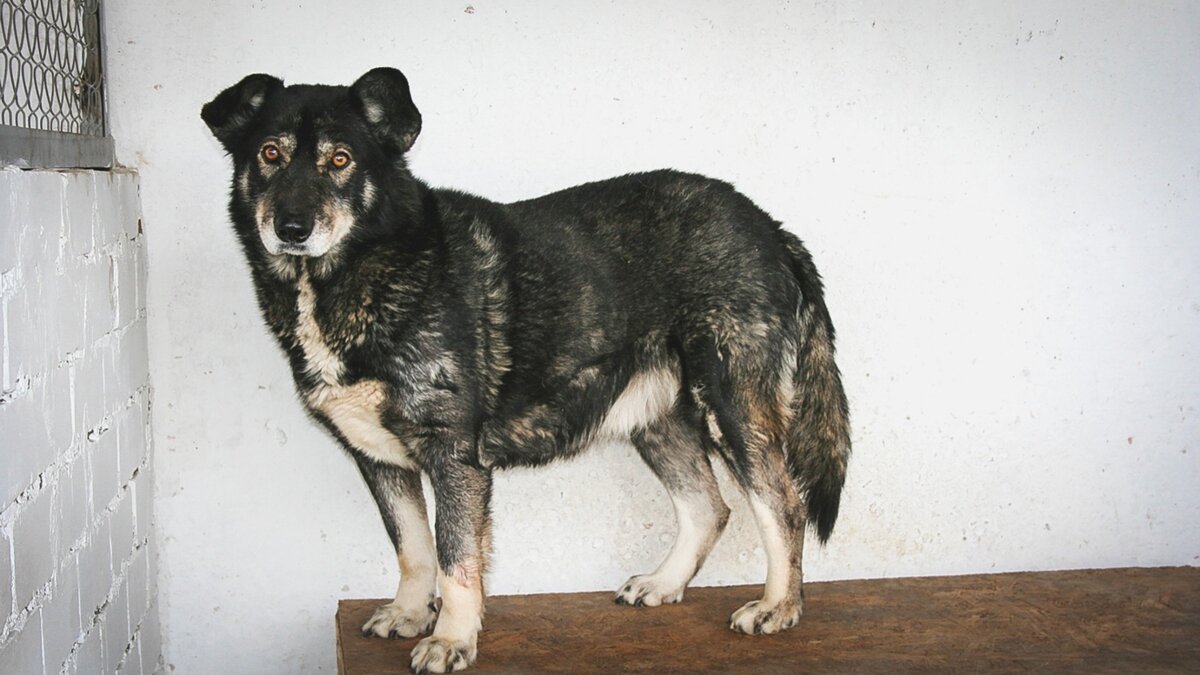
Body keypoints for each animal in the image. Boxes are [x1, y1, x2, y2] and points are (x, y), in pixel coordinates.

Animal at [201, 66, 849, 667]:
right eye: (269, 154)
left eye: (340, 160)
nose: (291, 229)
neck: (356, 273)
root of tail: (772, 229)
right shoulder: (380, 460)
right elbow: (413, 548)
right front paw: (411, 614)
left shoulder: (453, 457)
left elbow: (456, 559)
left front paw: (451, 640)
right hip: (655, 420)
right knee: (708, 508)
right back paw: (666, 583)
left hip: (730, 409)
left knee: (782, 506)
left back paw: (778, 607)